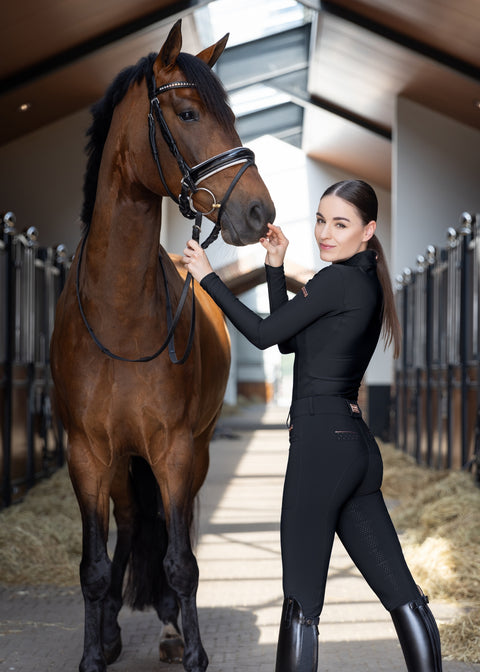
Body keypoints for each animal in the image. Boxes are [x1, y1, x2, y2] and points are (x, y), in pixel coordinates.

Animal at [49, 19, 274, 672]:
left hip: (191, 452)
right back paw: (114, 631)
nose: (260, 211)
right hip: (123, 463)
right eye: (188, 112)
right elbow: (94, 567)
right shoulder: (87, 455)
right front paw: (93, 653)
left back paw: (172, 628)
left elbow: (181, 562)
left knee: (179, 529)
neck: (120, 314)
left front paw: (192, 650)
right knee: (128, 524)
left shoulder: (173, 450)